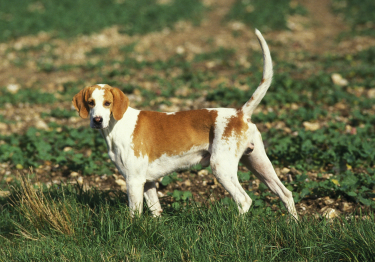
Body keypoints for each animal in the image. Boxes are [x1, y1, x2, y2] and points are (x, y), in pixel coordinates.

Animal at [71, 29, 300, 220]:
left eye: (107, 103)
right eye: (90, 103)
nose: (97, 120)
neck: (117, 126)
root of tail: (240, 113)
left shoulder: (134, 181)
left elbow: (134, 215)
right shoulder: (149, 183)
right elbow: (156, 212)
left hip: (222, 168)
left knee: (244, 200)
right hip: (259, 164)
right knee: (286, 194)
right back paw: (294, 225)